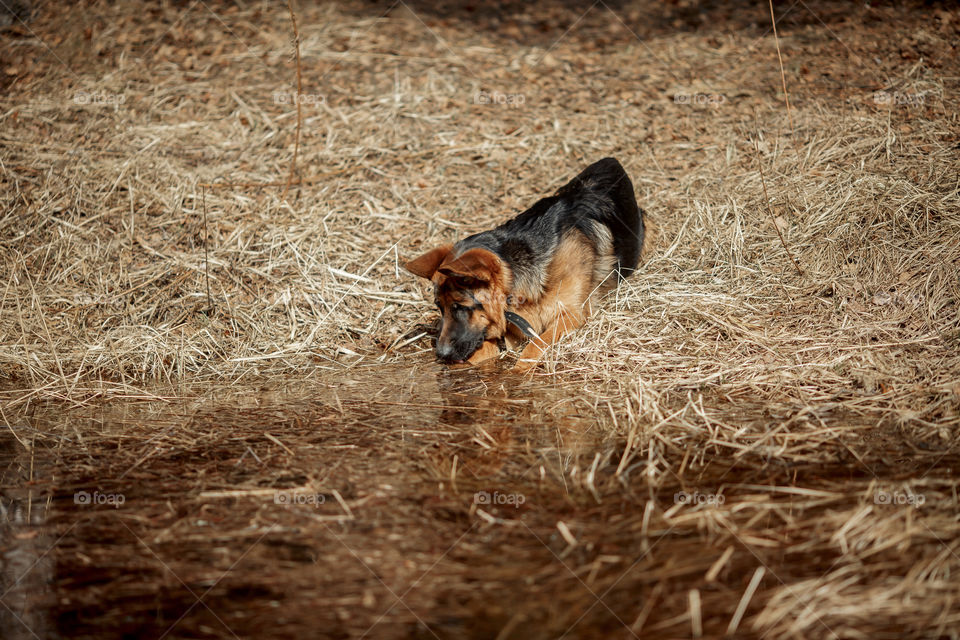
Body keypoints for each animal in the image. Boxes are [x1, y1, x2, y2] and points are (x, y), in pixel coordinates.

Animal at [404, 158, 644, 370]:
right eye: (439, 307)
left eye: (460, 307)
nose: (441, 354)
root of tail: (609, 162)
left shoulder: (570, 315)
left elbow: (534, 347)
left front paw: (518, 374)